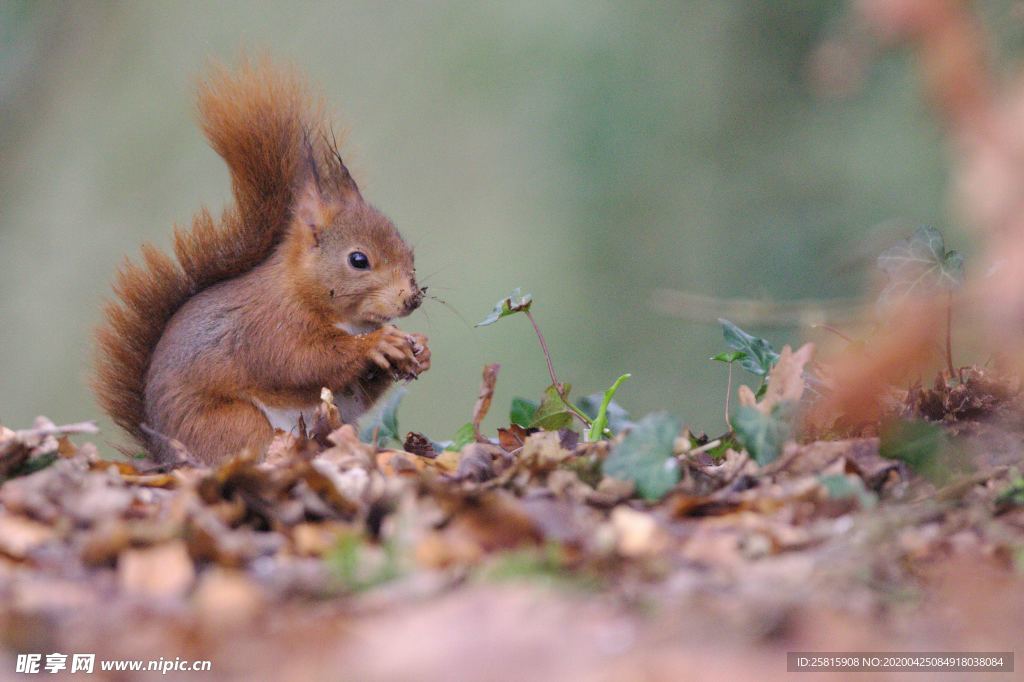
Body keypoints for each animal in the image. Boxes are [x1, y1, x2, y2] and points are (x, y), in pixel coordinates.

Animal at [94, 58, 430, 462]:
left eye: (409, 251)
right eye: (358, 259)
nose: (411, 299)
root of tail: (166, 457)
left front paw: (418, 348)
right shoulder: (268, 329)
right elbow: (305, 361)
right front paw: (377, 344)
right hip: (234, 424)